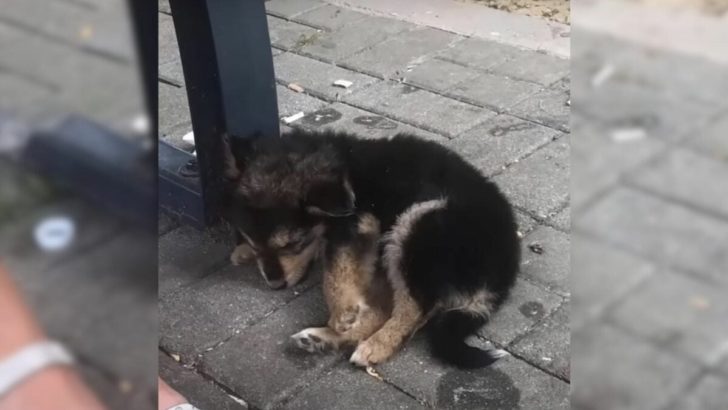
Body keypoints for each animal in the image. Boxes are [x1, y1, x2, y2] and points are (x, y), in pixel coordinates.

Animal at [220, 129, 516, 368]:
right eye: (253, 241)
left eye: (293, 243)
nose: (275, 285)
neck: (347, 169)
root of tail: (503, 272)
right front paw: (243, 252)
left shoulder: (359, 222)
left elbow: (335, 268)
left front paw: (343, 311)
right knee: (385, 309)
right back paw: (321, 339)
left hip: (416, 225)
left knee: (414, 310)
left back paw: (376, 345)